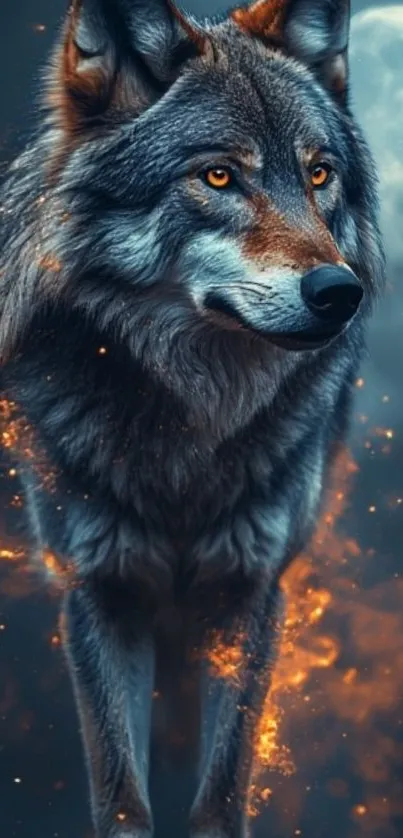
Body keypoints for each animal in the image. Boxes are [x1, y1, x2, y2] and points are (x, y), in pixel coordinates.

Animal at [0, 0, 384, 836]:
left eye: (318, 173)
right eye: (217, 176)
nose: (339, 292)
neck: (189, 436)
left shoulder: (250, 589)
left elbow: (219, 792)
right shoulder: (99, 591)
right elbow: (121, 796)